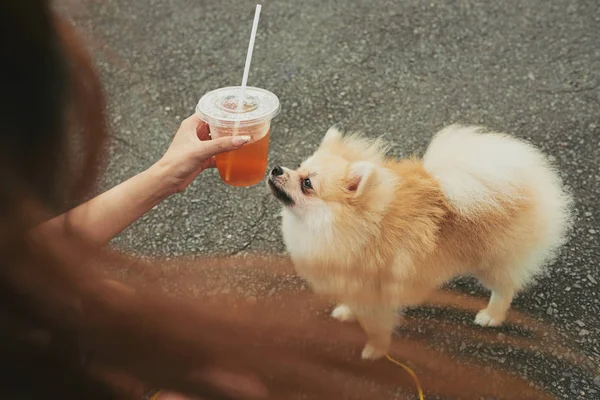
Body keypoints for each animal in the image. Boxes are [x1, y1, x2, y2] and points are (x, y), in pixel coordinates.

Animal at [268, 125, 572, 360]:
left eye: (307, 183)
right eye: (299, 166)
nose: (276, 168)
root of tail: (529, 181)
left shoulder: (374, 296)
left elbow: (376, 328)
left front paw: (375, 351)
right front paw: (346, 311)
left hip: (492, 261)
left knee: (505, 288)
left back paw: (491, 315)